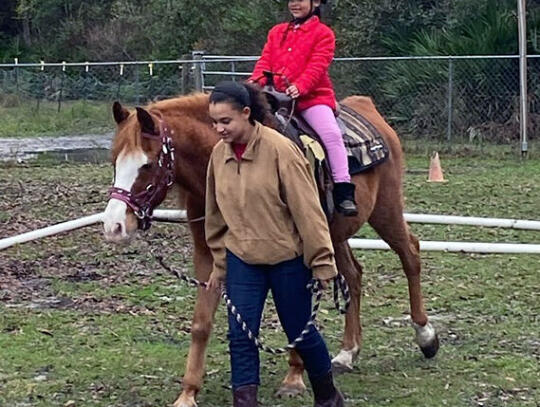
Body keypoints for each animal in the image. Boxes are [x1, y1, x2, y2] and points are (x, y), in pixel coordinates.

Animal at [102, 92, 438, 407]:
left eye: (146, 164)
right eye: (115, 160)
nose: (113, 226)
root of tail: (367, 107)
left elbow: (296, 315)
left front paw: (294, 377)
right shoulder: (208, 256)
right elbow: (201, 323)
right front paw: (188, 392)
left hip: (385, 211)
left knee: (410, 254)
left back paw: (425, 336)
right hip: (335, 234)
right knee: (354, 275)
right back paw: (347, 352)